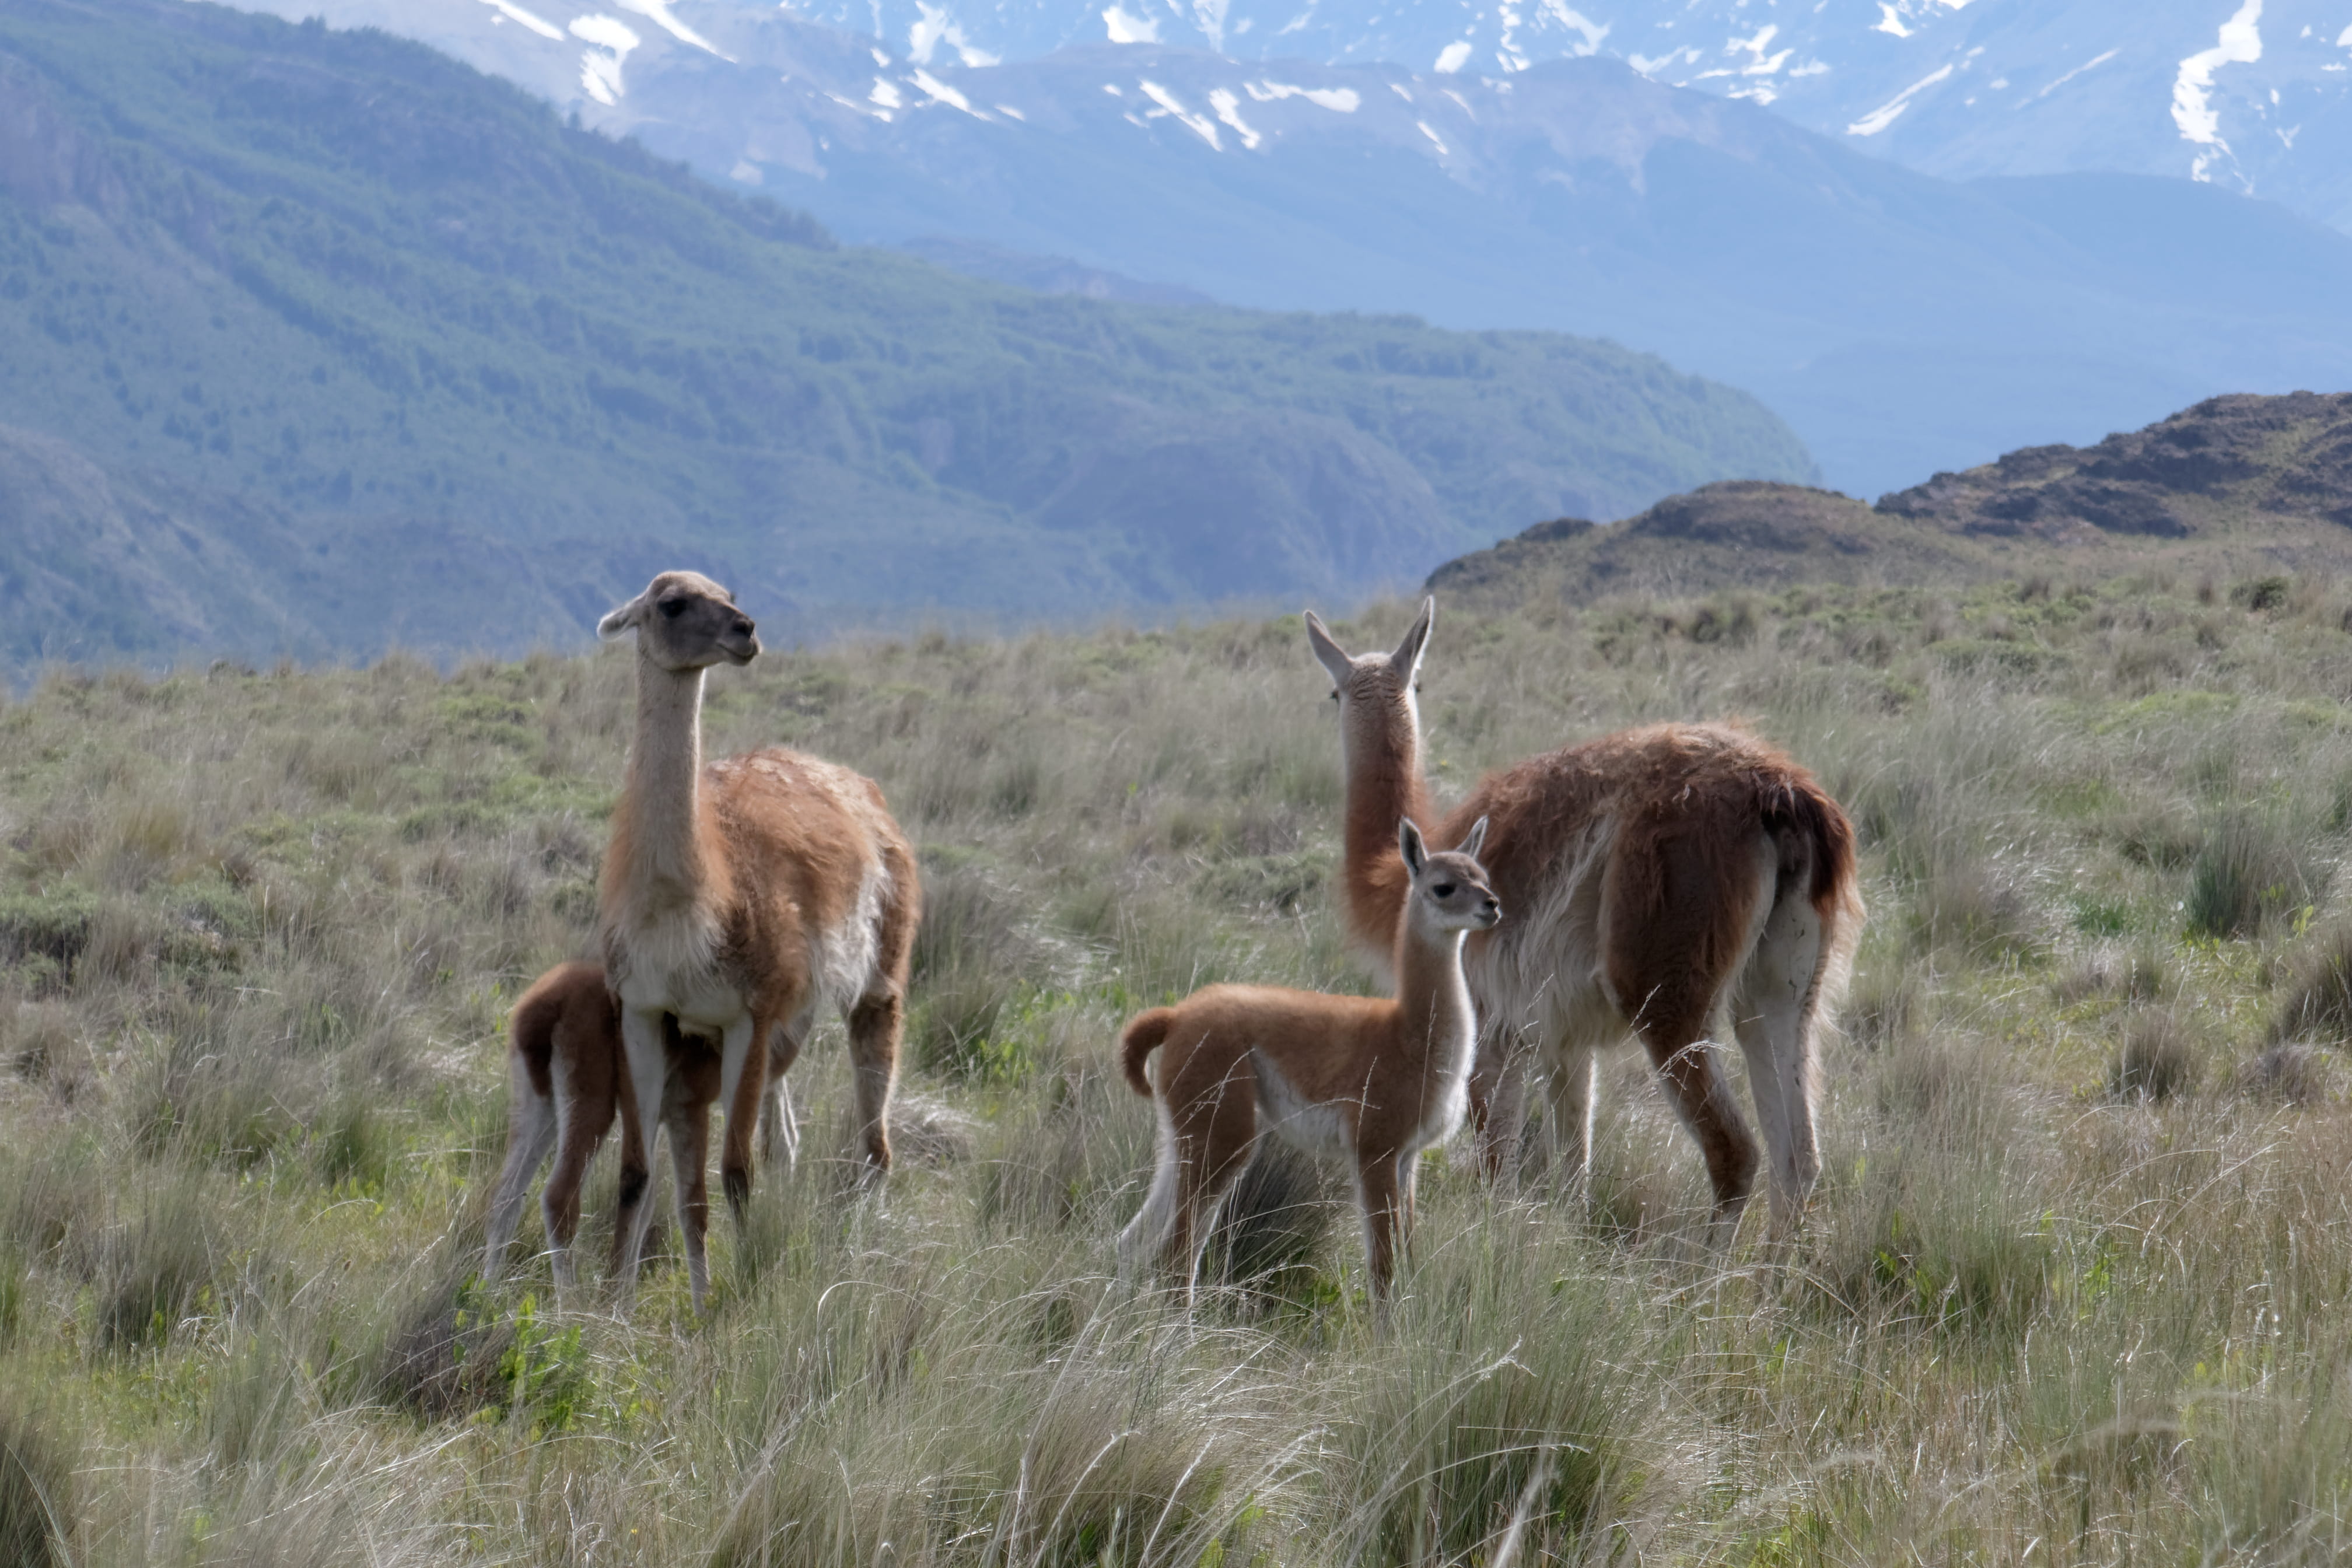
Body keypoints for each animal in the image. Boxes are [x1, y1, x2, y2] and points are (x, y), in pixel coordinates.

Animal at [597, 571, 919, 1312]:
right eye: (673, 604)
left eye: (730, 593)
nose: (745, 631)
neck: (689, 909)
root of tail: (851, 782)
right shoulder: (643, 1009)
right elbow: (635, 1171)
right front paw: (611, 1307)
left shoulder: (749, 1010)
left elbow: (736, 1170)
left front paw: (742, 1292)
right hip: (791, 1017)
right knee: (787, 1138)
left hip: (879, 972)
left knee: (874, 1140)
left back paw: (866, 1242)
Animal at [1118, 817, 1500, 1306]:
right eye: (1444, 887)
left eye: (1483, 877)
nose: (1492, 906)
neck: (1410, 1038)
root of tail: (1177, 1016)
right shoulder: (1374, 1146)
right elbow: (1383, 1267)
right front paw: (1388, 1328)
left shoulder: (1409, 1156)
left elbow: (1409, 1255)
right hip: (1222, 1125)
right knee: (1176, 1251)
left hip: (1183, 1131)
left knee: (1136, 1238)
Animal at [1305, 599, 1861, 1245]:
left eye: (1332, 691)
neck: (1397, 880)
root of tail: (1782, 792)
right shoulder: (1564, 1042)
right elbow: (1574, 1171)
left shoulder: (1491, 1031)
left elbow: (1496, 1171)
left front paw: (1492, 1251)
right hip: (1782, 985)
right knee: (1798, 1157)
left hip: (1664, 977)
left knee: (1735, 1151)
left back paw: (1703, 1275)